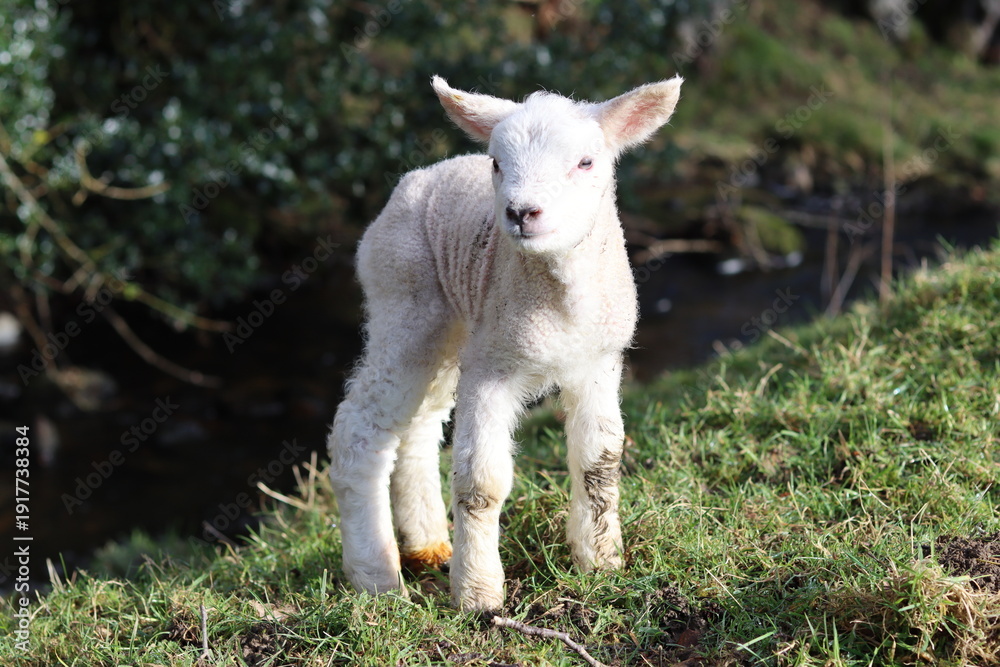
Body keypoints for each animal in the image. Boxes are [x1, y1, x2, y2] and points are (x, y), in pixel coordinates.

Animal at [328, 74, 683, 611]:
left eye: (586, 162)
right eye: (497, 162)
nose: (521, 212)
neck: (560, 304)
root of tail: (422, 175)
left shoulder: (598, 361)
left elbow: (599, 463)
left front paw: (601, 564)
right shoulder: (491, 365)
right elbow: (481, 484)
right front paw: (478, 596)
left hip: (452, 326)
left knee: (420, 426)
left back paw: (428, 545)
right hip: (403, 299)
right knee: (361, 427)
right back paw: (377, 580)